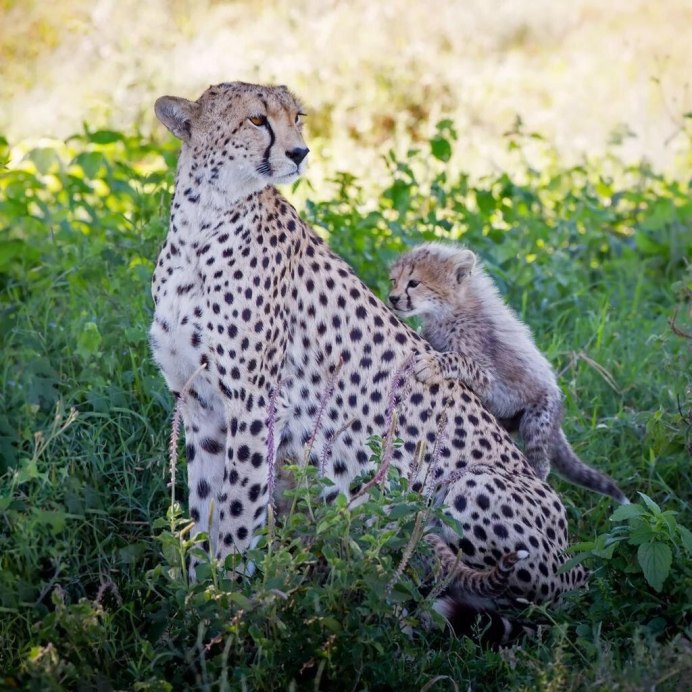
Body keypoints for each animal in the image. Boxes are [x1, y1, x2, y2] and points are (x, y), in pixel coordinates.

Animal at [149, 82, 588, 620]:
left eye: (297, 117)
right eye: (256, 120)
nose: (300, 152)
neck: (203, 217)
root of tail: (570, 553)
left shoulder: (255, 405)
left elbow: (236, 512)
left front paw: (228, 600)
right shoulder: (200, 407)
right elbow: (205, 508)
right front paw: (197, 596)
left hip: (473, 485)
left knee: (523, 590)